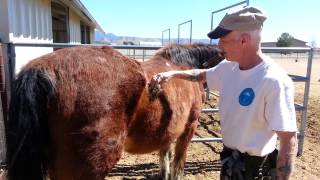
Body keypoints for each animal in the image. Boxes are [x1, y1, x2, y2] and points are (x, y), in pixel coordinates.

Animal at [5, 43, 222, 179]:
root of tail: (43, 69)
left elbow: (165, 155)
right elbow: (178, 163)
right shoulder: (189, 127)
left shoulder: (168, 130)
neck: (184, 64)